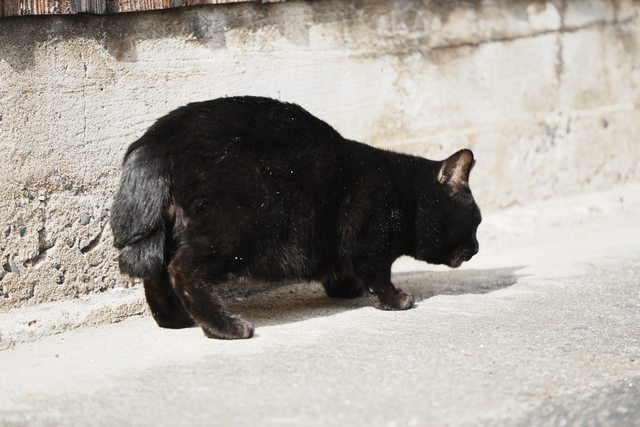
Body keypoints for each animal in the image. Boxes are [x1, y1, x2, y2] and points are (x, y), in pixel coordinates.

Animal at [110, 96, 481, 339]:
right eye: (476, 223)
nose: (477, 247)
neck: (406, 193)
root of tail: (157, 141)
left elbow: (344, 270)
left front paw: (346, 289)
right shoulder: (370, 239)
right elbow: (377, 273)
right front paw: (395, 300)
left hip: (167, 234)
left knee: (155, 273)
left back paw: (175, 320)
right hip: (236, 229)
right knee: (182, 271)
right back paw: (227, 328)